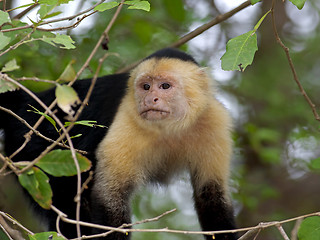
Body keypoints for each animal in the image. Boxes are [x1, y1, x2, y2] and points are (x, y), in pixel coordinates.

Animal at [0, 47, 235, 239]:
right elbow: (109, 197)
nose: (150, 99)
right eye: (146, 86)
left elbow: (212, 196)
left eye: (165, 86)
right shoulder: (127, 118)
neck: (170, 128)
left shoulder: (214, 121)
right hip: (31, 143)